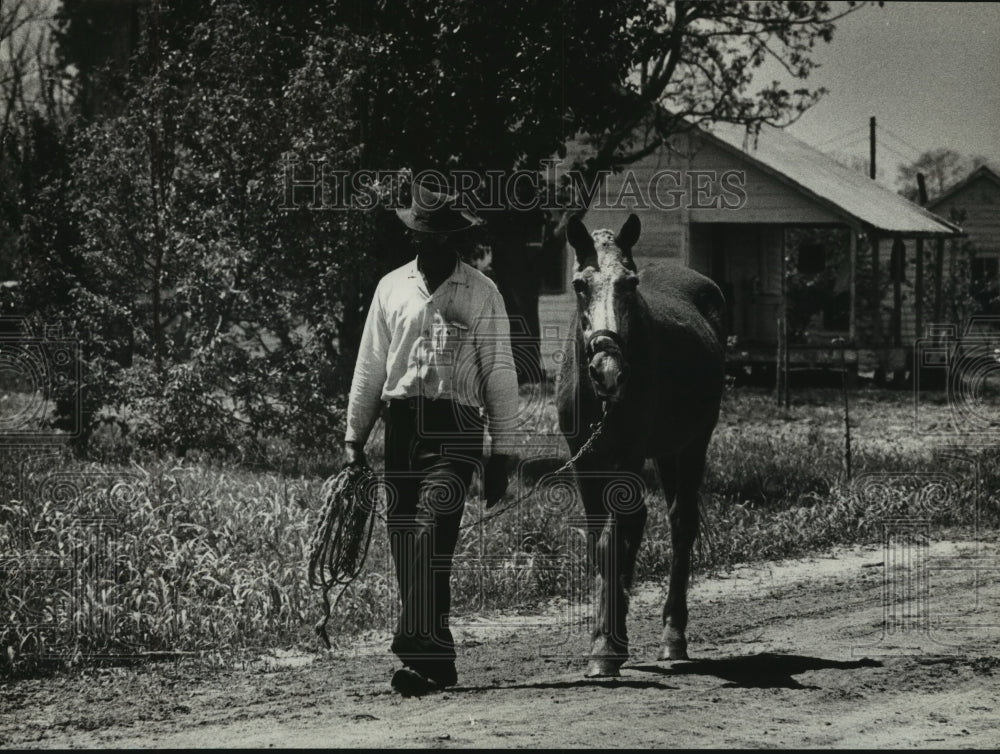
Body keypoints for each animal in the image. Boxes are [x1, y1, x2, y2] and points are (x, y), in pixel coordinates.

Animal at [556, 212, 728, 676]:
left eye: (630, 283)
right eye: (579, 284)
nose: (608, 371)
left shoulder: (628, 455)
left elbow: (618, 537)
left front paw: (605, 646)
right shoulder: (584, 461)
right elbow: (600, 543)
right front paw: (607, 638)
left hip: (693, 442)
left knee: (681, 523)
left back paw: (673, 636)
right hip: (666, 451)